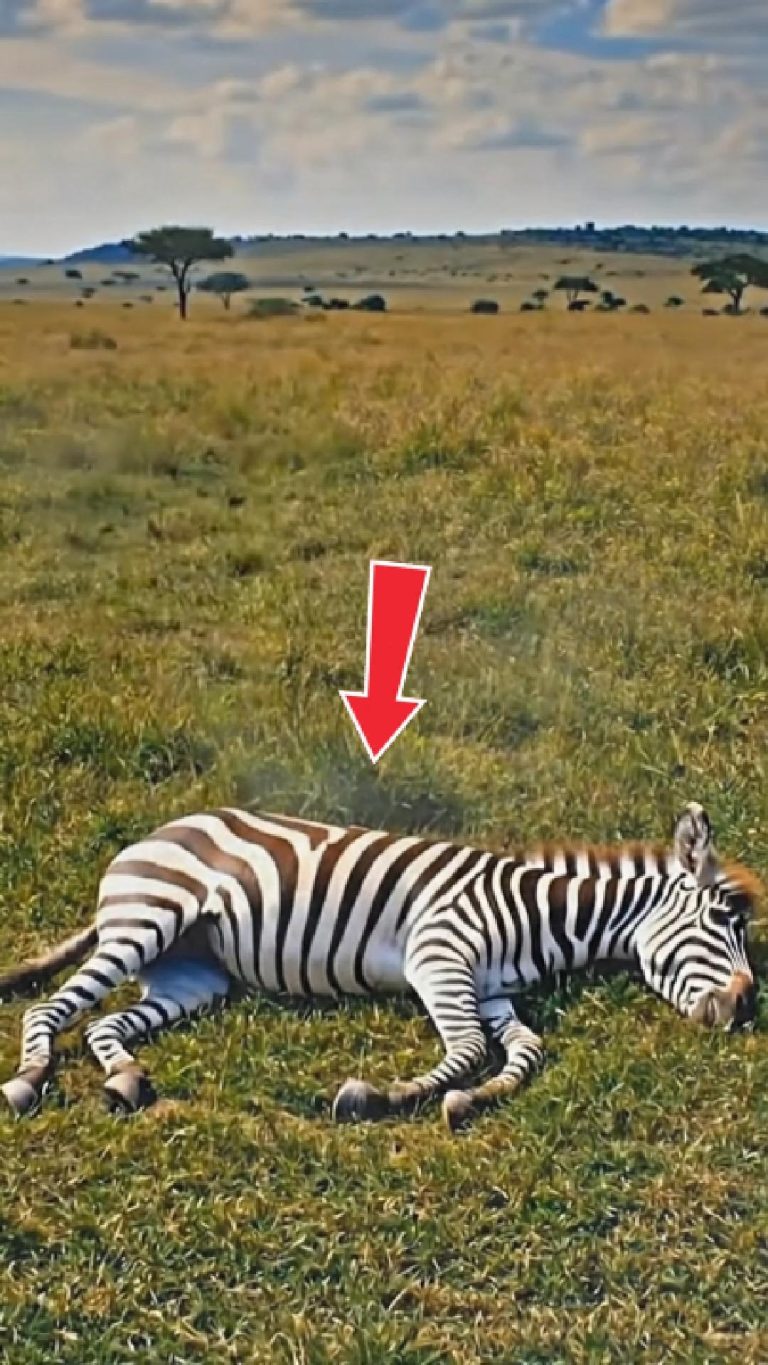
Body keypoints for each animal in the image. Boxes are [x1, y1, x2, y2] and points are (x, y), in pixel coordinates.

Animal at [0, 800, 758, 1131]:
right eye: (723, 923)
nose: (746, 1009)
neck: (536, 913)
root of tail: (155, 833)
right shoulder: (440, 957)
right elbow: (467, 1049)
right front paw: (378, 1096)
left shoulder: (493, 992)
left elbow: (525, 1051)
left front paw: (473, 1098)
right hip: (149, 919)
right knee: (49, 1008)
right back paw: (28, 1080)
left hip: (193, 976)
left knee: (103, 1026)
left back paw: (126, 1078)